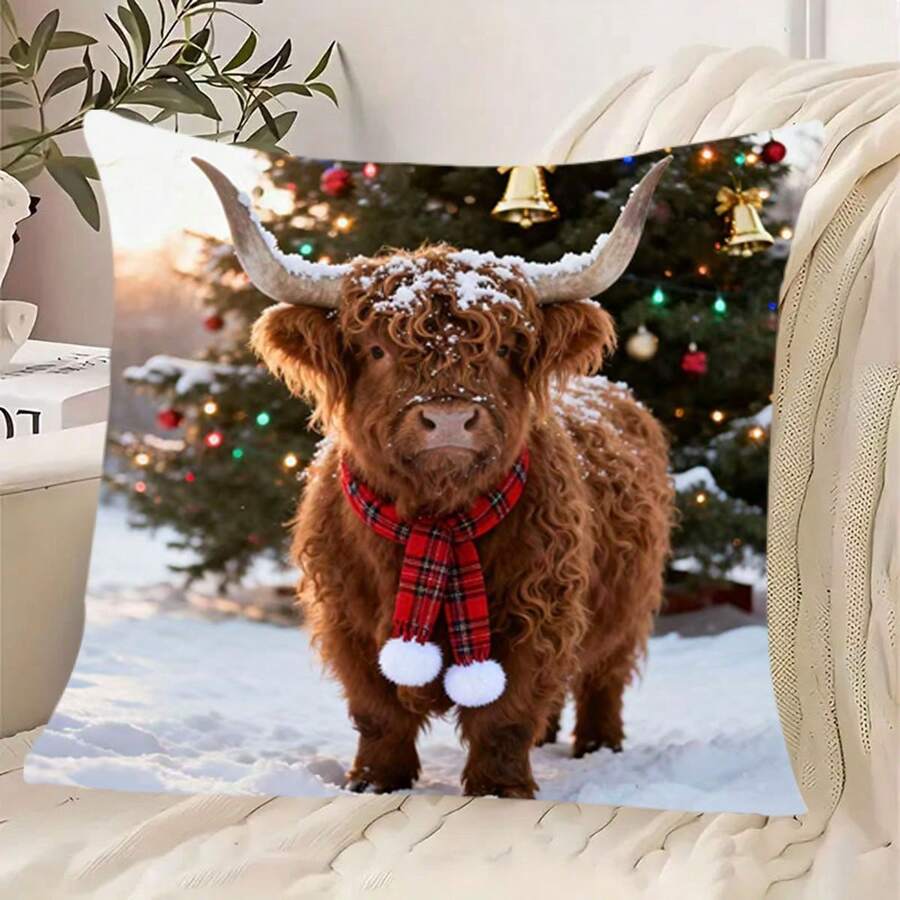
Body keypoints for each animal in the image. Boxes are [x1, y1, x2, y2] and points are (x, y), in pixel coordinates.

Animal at [195, 156, 674, 799]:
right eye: (376, 350)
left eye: (503, 348)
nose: (449, 417)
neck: (437, 524)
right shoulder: (349, 622)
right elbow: (378, 713)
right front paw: (374, 782)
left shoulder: (537, 613)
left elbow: (504, 716)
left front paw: (499, 790)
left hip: (628, 606)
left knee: (604, 680)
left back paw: (599, 747)